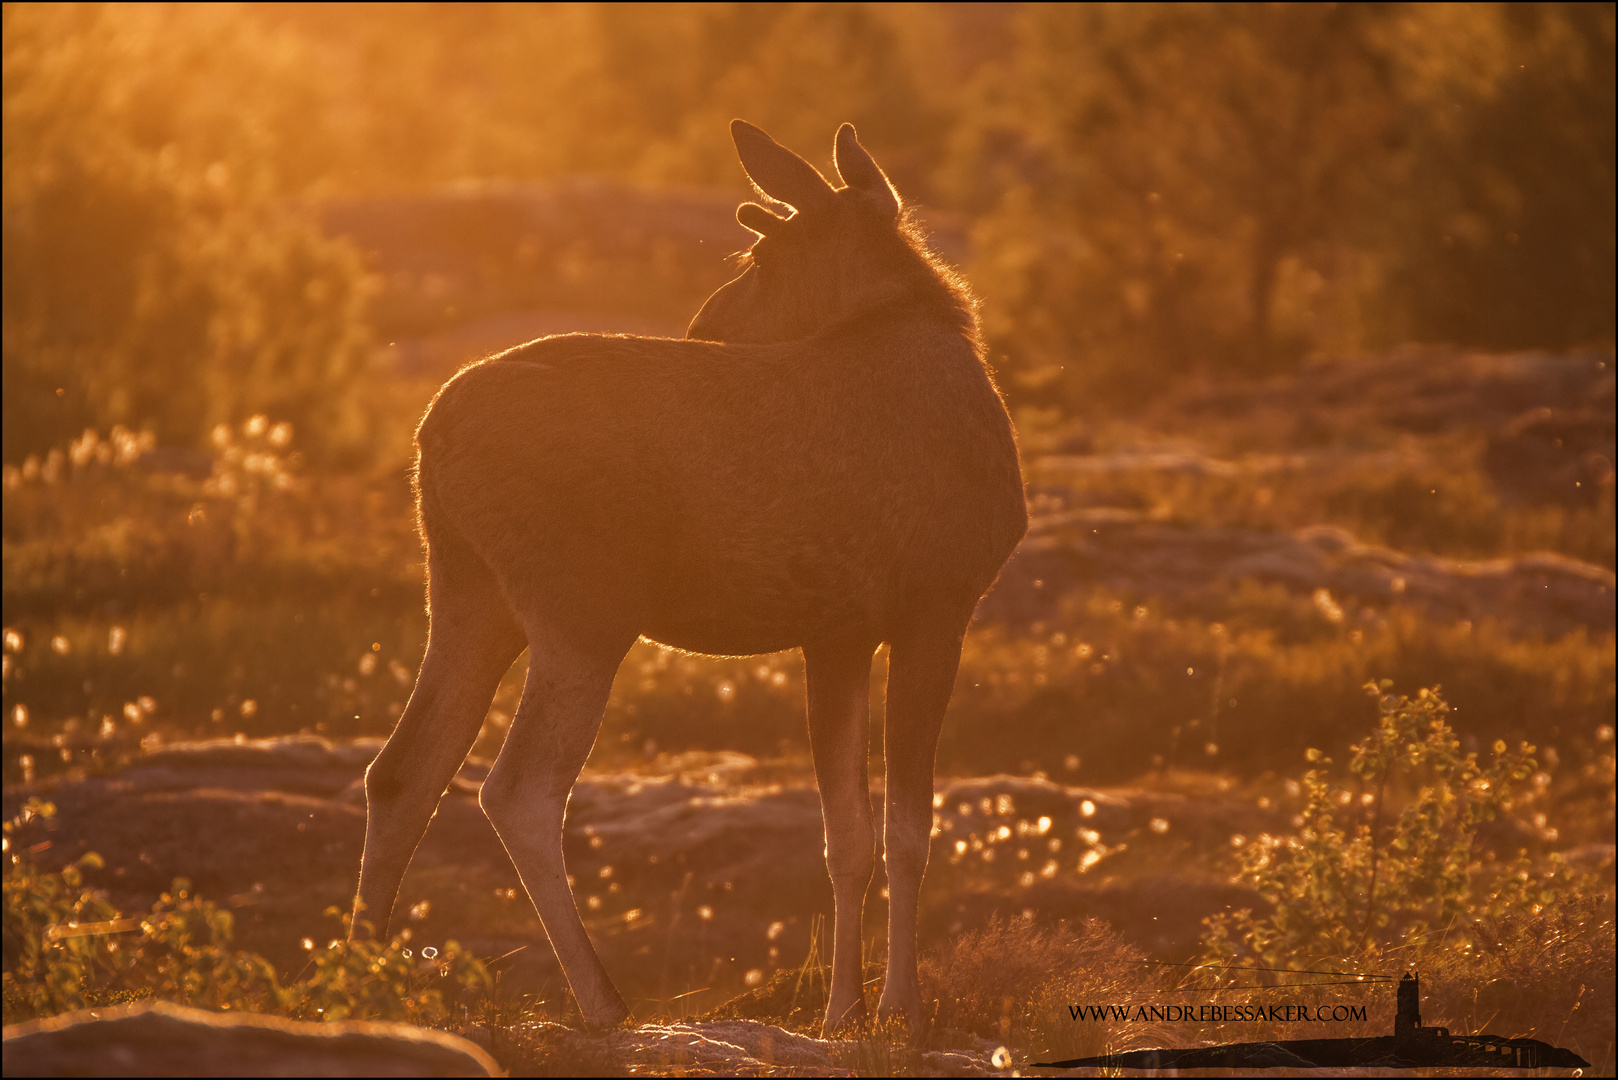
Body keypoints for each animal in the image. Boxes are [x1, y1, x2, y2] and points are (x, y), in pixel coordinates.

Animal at [360, 122, 1029, 1036]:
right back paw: (604, 1003)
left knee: (400, 771)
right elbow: (907, 830)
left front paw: (841, 1013)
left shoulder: (839, 631)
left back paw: (353, 983)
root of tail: (431, 436)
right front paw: (901, 1011)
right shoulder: (936, 604)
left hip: (467, 592)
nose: (703, 325)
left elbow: (847, 837)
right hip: (580, 609)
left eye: (761, 257)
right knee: (518, 789)